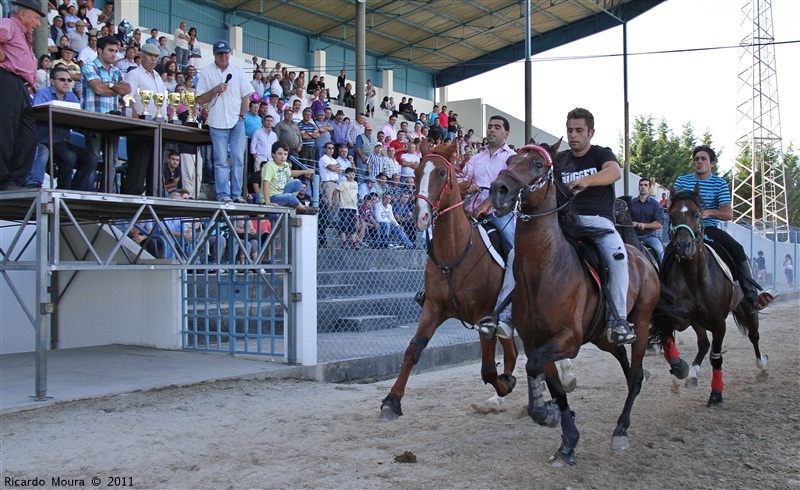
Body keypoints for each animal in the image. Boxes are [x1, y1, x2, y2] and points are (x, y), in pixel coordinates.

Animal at [380, 139, 520, 422]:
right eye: (417, 172)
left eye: (442, 173)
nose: (420, 216)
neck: (455, 253)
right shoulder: (433, 308)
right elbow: (413, 350)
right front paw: (392, 400)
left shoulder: (484, 317)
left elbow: (488, 369)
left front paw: (504, 383)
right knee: (513, 352)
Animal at [490, 142, 672, 468]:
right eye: (509, 161)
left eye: (537, 164)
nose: (499, 190)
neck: (545, 270)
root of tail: (642, 257)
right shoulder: (537, 341)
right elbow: (553, 385)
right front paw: (566, 440)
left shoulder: (569, 339)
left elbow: (537, 369)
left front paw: (544, 413)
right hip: (602, 336)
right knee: (628, 369)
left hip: (640, 323)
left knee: (635, 374)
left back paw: (621, 429)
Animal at [648, 188, 768, 406]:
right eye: (672, 215)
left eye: (697, 214)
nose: (684, 246)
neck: (694, 275)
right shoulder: (679, 315)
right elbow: (667, 335)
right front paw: (680, 367)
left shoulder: (719, 322)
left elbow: (717, 357)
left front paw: (716, 394)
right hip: (699, 320)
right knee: (703, 344)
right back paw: (692, 375)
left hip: (745, 306)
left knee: (753, 334)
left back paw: (761, 363)